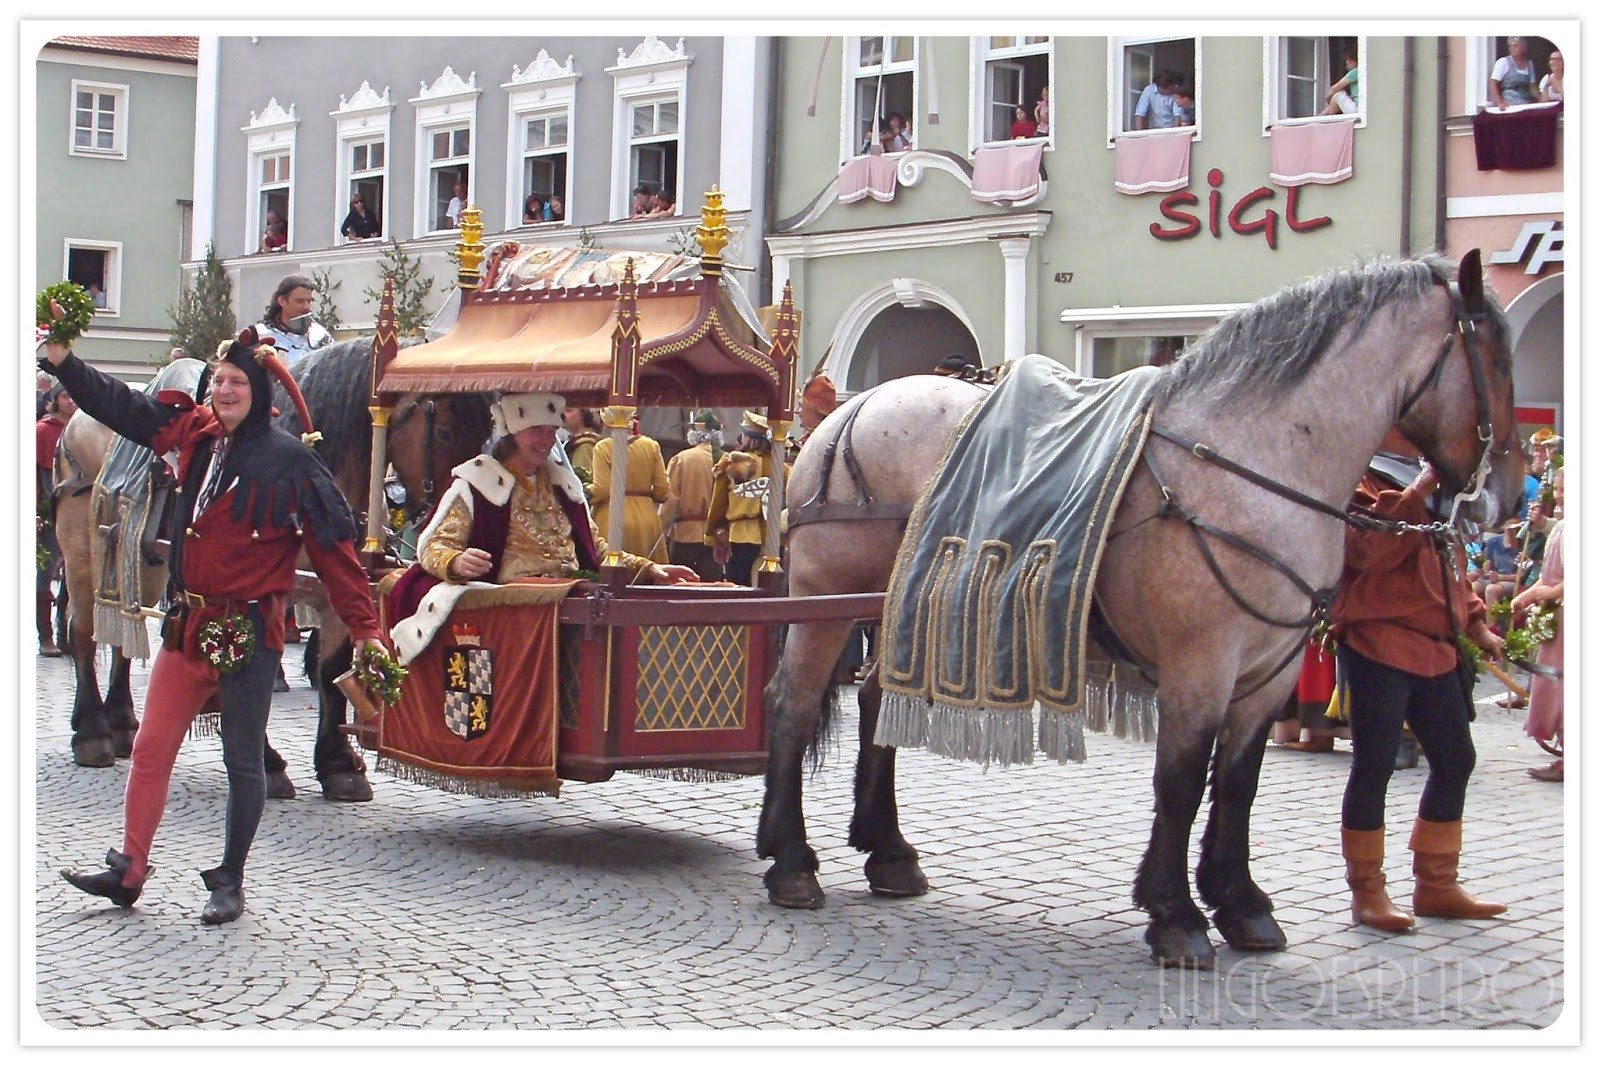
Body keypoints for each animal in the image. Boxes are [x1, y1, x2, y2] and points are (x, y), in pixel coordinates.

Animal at [53, 340, 489, 797]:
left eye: (486, 433)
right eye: (444, 432)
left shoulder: (335, 584)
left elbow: (331, 667)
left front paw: (338, 764)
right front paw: (268, 764)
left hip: (144, 563)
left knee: (124, 632)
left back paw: (122, 724)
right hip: (84, 553)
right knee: (82, 631)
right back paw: (92, 732)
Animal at [761, 252, 1523, 966]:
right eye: (1495, 358)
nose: (1507, 497)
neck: (1246, 466)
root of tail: (851, 409)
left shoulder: (1268, 673)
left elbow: (1237, 783)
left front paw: (1240, 902)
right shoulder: (1200, 665)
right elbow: (1181, 782)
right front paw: (1176, 914)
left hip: (903, 611)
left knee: (874, 701)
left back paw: (888, 850)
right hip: (826, 603)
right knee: (793, 702)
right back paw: (791, 860)